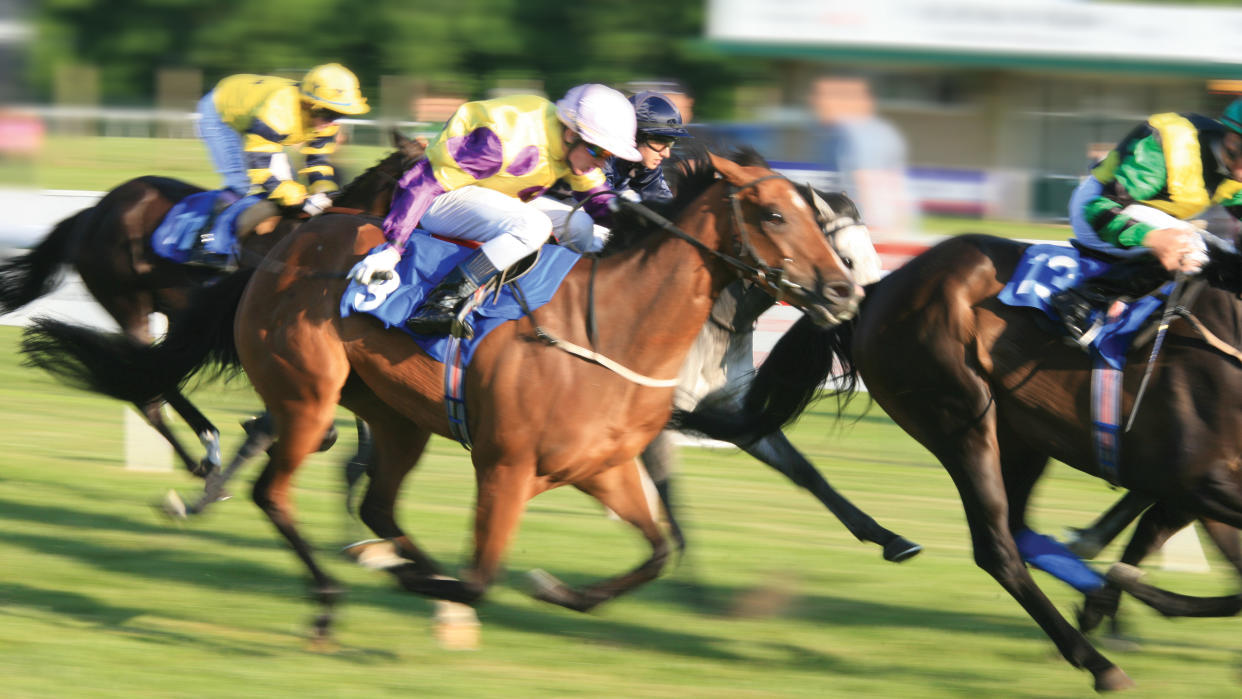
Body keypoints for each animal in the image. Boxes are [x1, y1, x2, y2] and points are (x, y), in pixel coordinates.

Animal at [26, 150, 864, 640]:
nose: (842, 291)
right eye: (775, 212)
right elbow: (485, 573)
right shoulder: (506, 465)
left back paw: (382, 559)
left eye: (822, 216)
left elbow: (657, 549)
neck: (615, 327)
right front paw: (442, 589)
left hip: (395, 417)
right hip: (308, 392)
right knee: (275, 487)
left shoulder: (601, 466)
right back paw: (326, 588)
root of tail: (284, 249)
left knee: (374, 502)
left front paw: (558, 588)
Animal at [675, 233, 1242, 690]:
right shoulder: (1200, 481)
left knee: (1017, 530)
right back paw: (1098, 663)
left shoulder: (1191, 489)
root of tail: (879, 289)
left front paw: (1117, 594)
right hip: (961, 417)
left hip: (1022, 436)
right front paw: (1122, 596)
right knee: (997, 547)